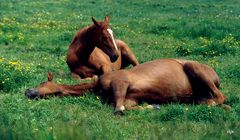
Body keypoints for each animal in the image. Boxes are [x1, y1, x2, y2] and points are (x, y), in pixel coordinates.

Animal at [25, 58, 227, 115]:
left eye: (42, 83)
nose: (27, 91)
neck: (98, 85)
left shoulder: (120, 82)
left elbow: (118, 108)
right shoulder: (131, 98)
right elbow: (127, 106)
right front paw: (153, 106)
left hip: (194, 68)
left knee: (220, 97)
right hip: (200, 96)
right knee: (221, 102)